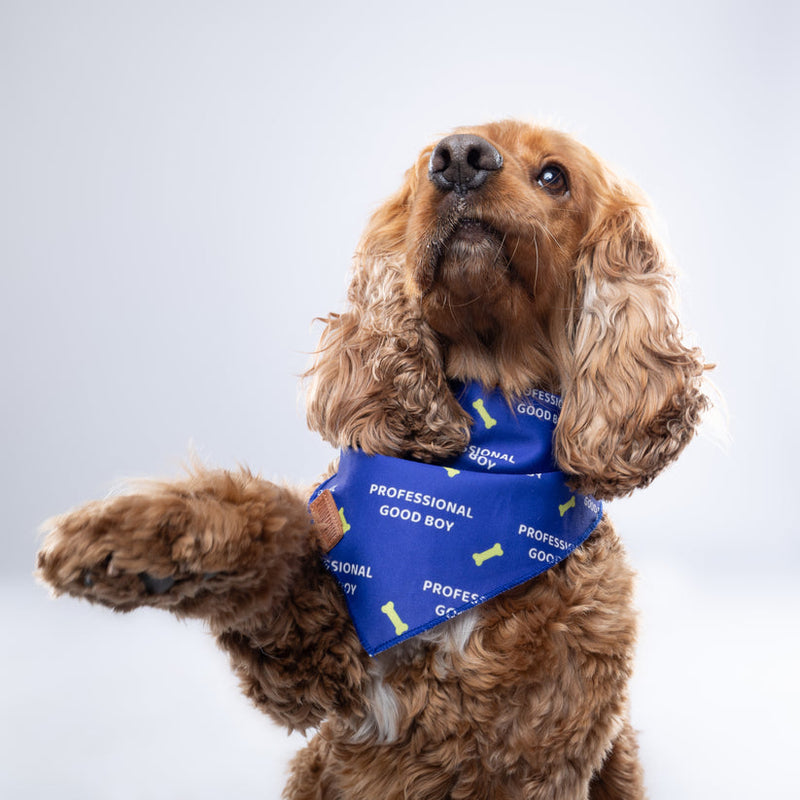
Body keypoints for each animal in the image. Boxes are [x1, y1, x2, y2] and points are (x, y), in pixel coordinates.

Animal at [37, 120, 708, 800]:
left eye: (554, 176)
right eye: (427, 166)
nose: (459, 158)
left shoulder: (547, 744)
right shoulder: (328, 674)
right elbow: (282, 538)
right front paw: (146, 538)